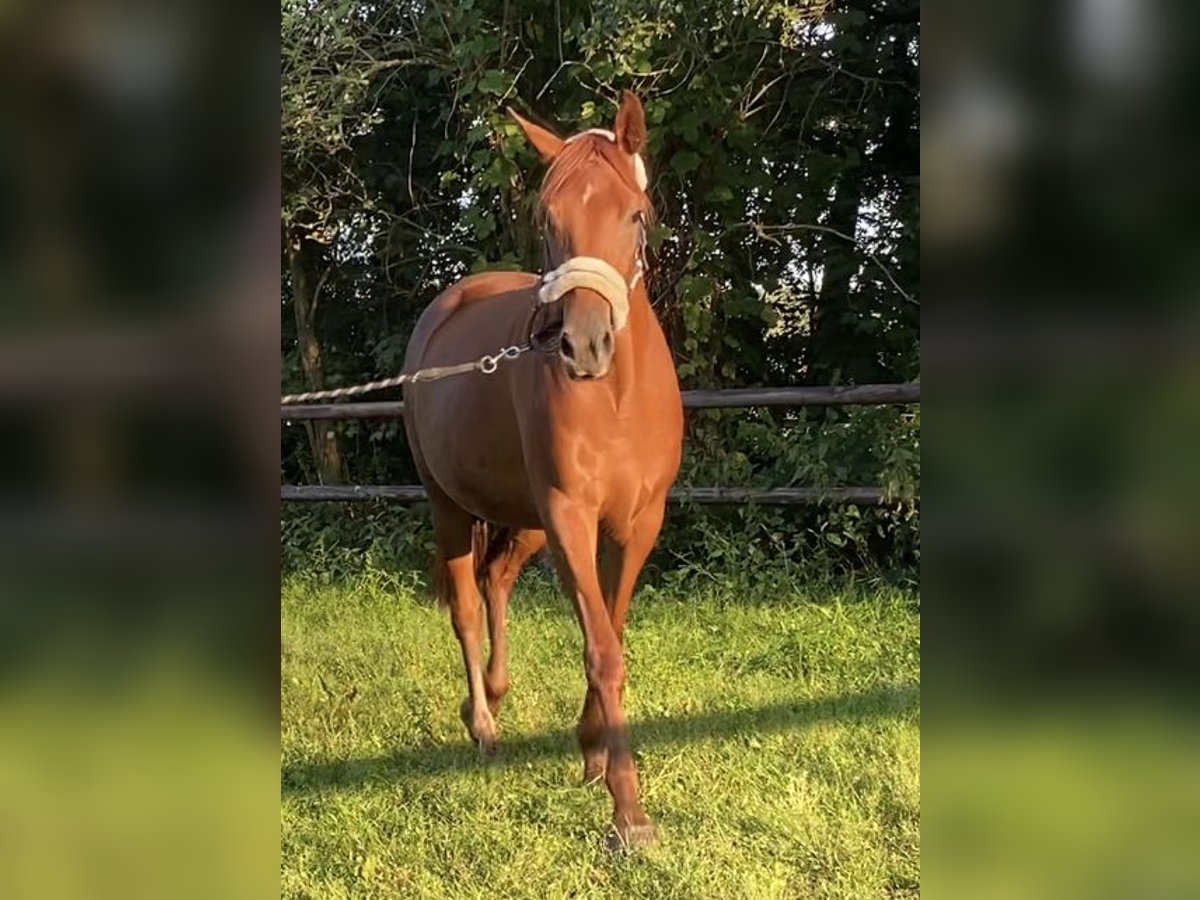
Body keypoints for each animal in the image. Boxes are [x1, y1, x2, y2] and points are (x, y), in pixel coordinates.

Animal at [405, 88, 681, 849]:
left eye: (634, 215)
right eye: (547, 219)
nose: (582, 346)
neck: (616, 398)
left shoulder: (637, 523)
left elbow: (611, 632)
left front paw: (592, 752)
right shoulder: (569, 517)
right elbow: (601, 649)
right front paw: (629, 813)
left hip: (523, 519)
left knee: (497, 579)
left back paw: (498, 696)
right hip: (451, 506)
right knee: (468, 607)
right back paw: (482, 724)